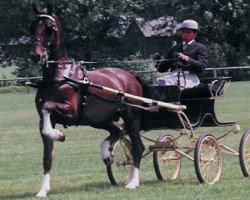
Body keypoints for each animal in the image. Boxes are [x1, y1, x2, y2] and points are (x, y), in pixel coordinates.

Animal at [29, 4, 145, 197]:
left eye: (50, 28)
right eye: (32, 27)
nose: (35, 55)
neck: (60, 76)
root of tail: (130, 75)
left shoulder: (71, 112)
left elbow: (47, 106)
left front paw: (59, 135)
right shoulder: (44, 121)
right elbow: (47, 156)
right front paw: (43, 190)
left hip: (131, 116)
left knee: (137, 147)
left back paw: (133, 182)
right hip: (100, 119)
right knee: (118, 130)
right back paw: (107, 153)